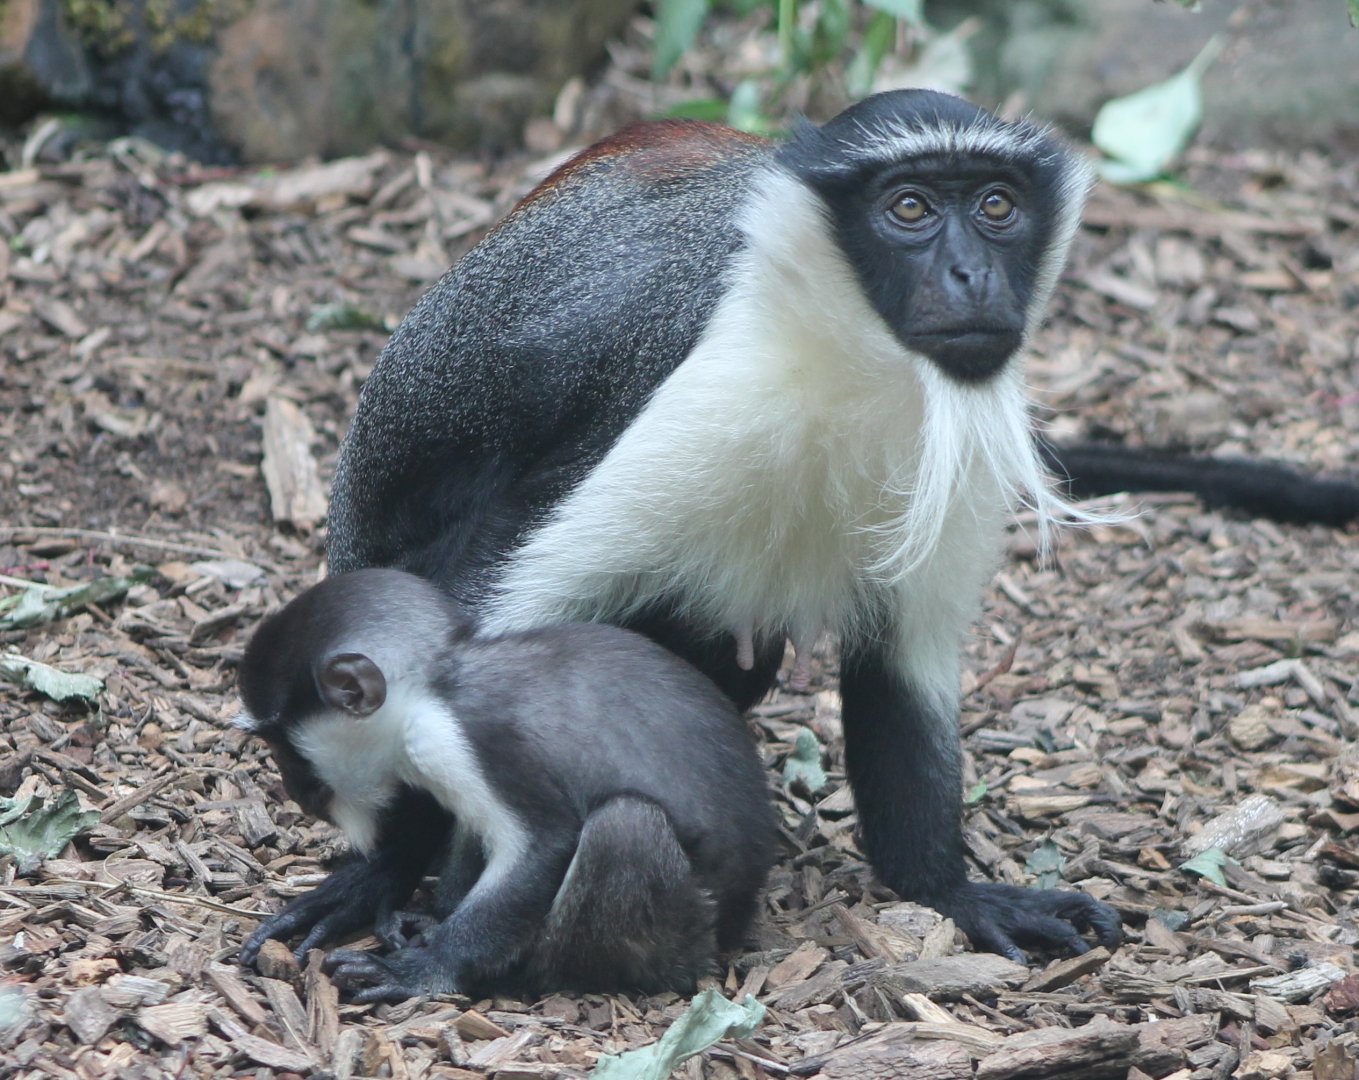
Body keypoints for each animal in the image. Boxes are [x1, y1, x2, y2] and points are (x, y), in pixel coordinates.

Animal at [235, 568, 777, 1001]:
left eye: (287, 748)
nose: (292, 787)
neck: (441, 680)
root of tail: (737, 919)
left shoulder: (459, 739)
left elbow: (545, 843)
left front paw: (424, 970)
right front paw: (412, 909)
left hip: (678, 930)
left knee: (624, 827)